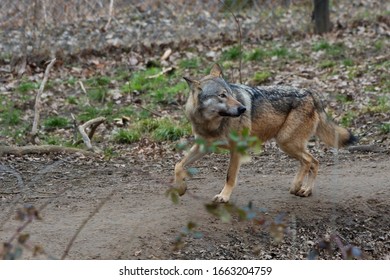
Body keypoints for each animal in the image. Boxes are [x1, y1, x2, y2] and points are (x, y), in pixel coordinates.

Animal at [175, 64, 358, 203]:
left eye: (232, 95)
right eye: (222, 95)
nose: (243, 109)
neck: (212, 124)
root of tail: (311, 93)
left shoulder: (237, 149)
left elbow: (230, 176)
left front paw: (224, 197)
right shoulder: (203, 147)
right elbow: (178, 165)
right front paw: (181, 188)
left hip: (285, 142)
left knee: (309, 161)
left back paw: (297, 187)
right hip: (288, 144)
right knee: (314, 162)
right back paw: (305, 190)